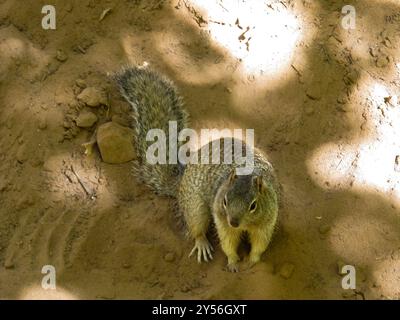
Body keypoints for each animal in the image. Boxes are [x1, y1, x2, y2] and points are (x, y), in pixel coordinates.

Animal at [114, 65, 280, 272]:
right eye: (225, 200)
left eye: (253, 205)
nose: (234, 222)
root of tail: (181, 180)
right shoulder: (221, 219)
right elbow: (227, 241)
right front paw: (233, 262)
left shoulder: (267, 221)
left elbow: (260, 243)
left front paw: (251, 261)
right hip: (195, 207)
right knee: (195, 227)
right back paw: (202, 244)